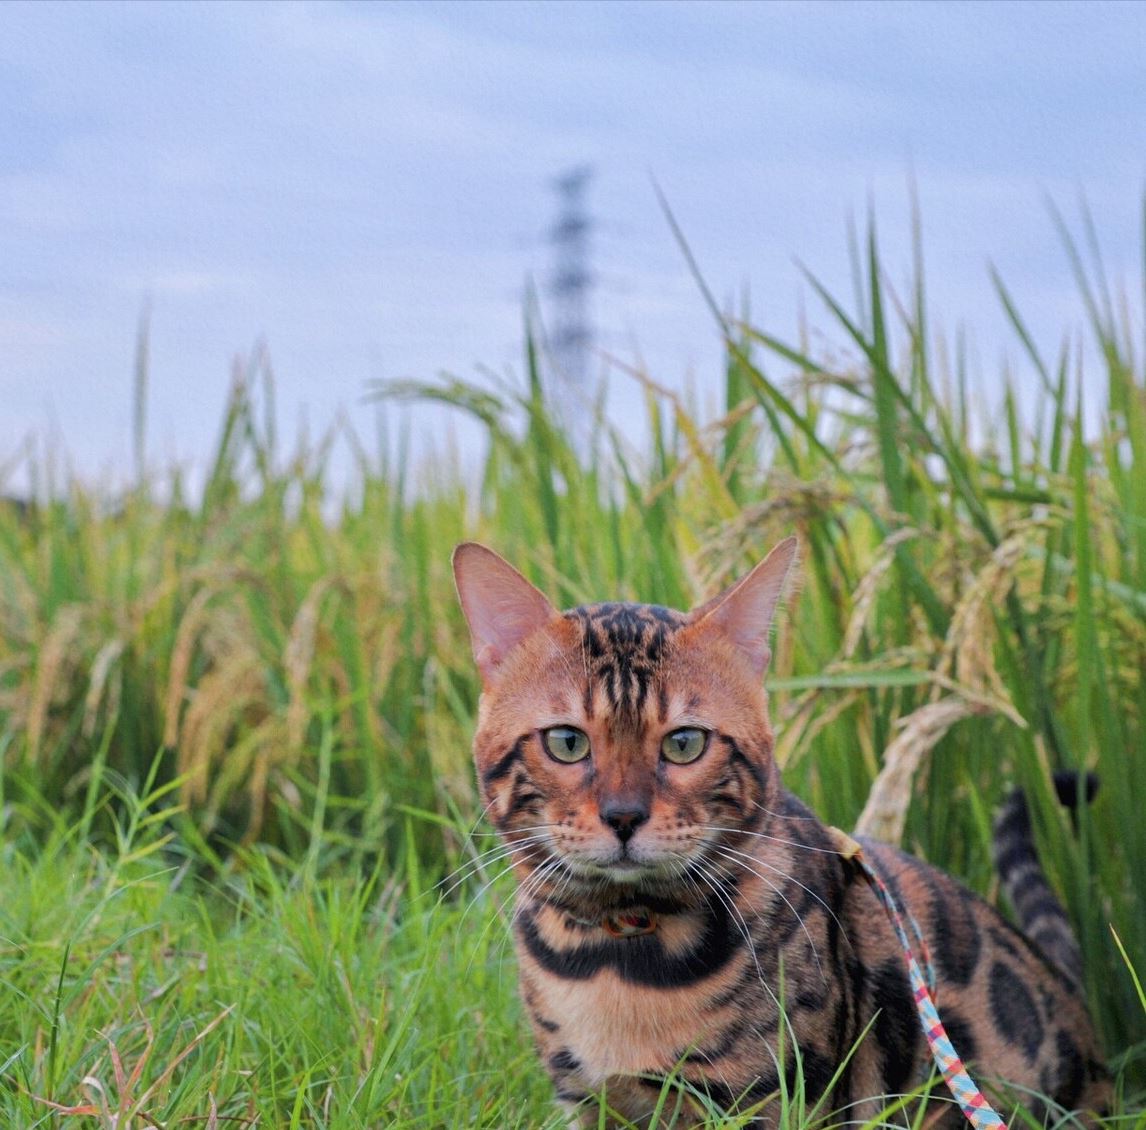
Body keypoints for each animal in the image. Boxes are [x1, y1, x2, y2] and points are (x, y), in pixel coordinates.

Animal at [449, 538, 1109, 1127]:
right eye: (567, 741)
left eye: (685, 743)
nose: (624, 816)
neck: (618, 955)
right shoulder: (588, 1103)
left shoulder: (770, 1102)